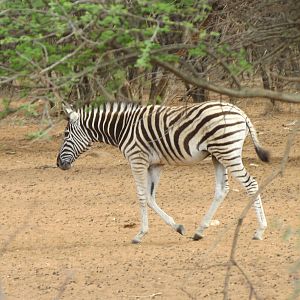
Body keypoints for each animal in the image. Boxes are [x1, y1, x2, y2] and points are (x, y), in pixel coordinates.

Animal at [56, 101, 270, 244]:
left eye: (65, 134)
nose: (58, 164)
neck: (122, 128)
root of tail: (239, 111)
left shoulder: (137, 160)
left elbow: (142, 196)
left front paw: (140, 234)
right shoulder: (155, 164)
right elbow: (151, 198)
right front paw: (178, 227)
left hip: (227, 152)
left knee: (251, 184)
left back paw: (260, 230)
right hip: (218, 155)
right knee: (221, 190)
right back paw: (200, 230)